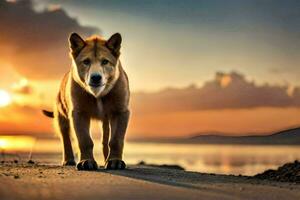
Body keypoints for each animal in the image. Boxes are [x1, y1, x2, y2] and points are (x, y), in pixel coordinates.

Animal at [42, 32, 130, 170]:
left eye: (105, 61)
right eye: (86, 61)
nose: (96, 77)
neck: (98, 95)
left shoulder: (120, 112)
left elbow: (116, 140)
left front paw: (115, 161)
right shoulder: (79, 113)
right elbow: (84, 140)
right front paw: (86, 161)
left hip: (106, 120)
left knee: (105, 140)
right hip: (62, 118)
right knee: (65, 139)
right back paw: (68, 160)